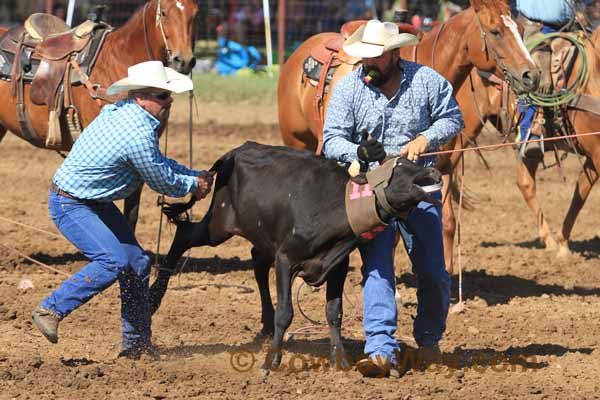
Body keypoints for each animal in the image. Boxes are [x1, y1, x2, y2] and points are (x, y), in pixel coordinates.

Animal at [276, 0, 540, 274]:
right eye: (495, 31)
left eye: (520, 28)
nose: (532, 75)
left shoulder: (444, 167)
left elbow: (447, 222)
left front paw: (446, 271)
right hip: (296, 140)